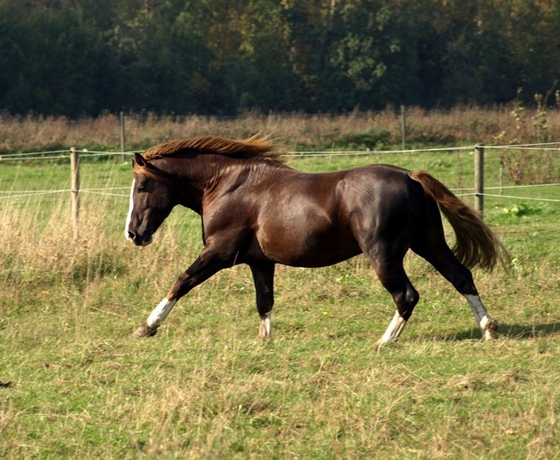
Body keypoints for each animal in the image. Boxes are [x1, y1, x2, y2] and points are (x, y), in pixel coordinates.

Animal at [126, 135, 508, 344]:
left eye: (142, 186)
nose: (133, 234)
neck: (226, 184)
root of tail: (410, 177)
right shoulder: (259, 261)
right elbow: (264, 301)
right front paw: (265, 339)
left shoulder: (218, 253)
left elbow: (181, 283)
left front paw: (146, 327)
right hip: (429, 243)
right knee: (461, 276)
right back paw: (488, 328)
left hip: (383, 254)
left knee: (407, 294)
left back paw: (384, 341)